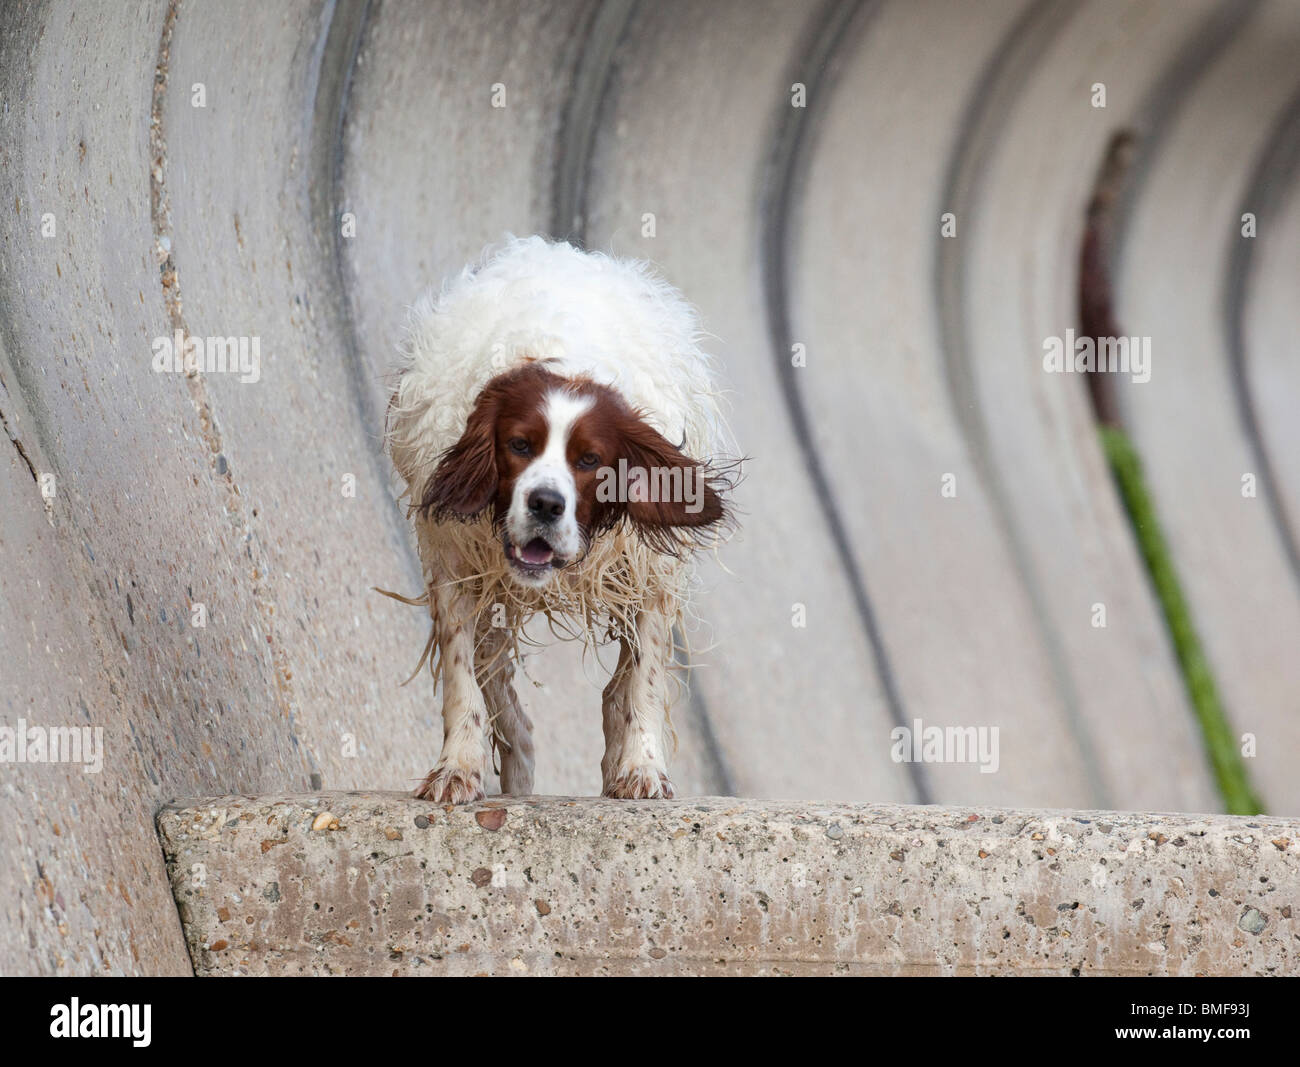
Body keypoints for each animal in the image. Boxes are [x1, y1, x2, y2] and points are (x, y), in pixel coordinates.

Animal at [382, 235, 733, 800]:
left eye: (589, 459)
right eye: (519, 445)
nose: (546, 503)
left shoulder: (648, 576)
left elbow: (642, 682)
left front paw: (641, 767)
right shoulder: (455, 562)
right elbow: (464, 680)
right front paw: (457, 767)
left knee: (612, 692)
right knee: (507, 701)